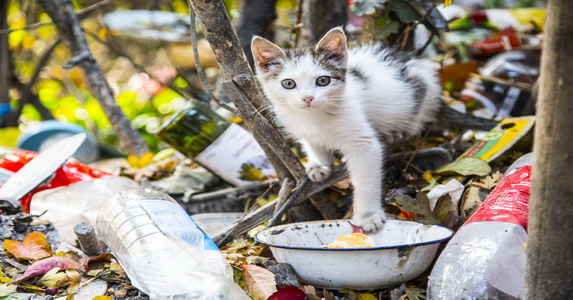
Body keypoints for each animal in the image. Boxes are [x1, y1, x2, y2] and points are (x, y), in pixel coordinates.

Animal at [252, 27, 494, 231]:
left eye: (323, 81)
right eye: (288, 84)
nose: (307, 98)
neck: (315, 118)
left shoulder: (364, 143)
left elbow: (366, 178)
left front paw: (368, 216)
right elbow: (312, 142)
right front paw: (320, 163)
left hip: (418, 93)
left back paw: (398, 131)